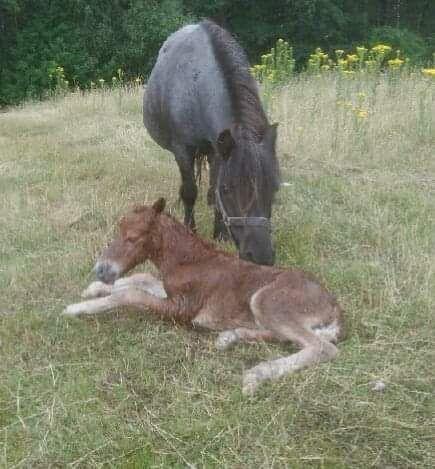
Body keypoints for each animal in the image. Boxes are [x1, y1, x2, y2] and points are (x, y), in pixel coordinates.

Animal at [63, 197, 344, 392]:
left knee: (322, 347)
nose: (101, 270)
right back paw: (229, 337)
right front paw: (93, 288)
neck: (188, 260)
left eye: (133, 238)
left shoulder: (183, 308)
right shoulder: (172, 292)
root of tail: (334, 307)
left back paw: (255, 375)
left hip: (267, 302)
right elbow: (142, 279)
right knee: (287, 337)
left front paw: (78, 308)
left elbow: (131, 294)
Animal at [143, 20, 280, 266]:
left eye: (273, 187)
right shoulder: (182, 150)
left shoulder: (218, 149)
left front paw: (220, 233)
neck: (195, 84)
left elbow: (214, 183)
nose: (261, 257)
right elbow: (189, 191)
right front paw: (190, 229)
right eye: (228, 190)